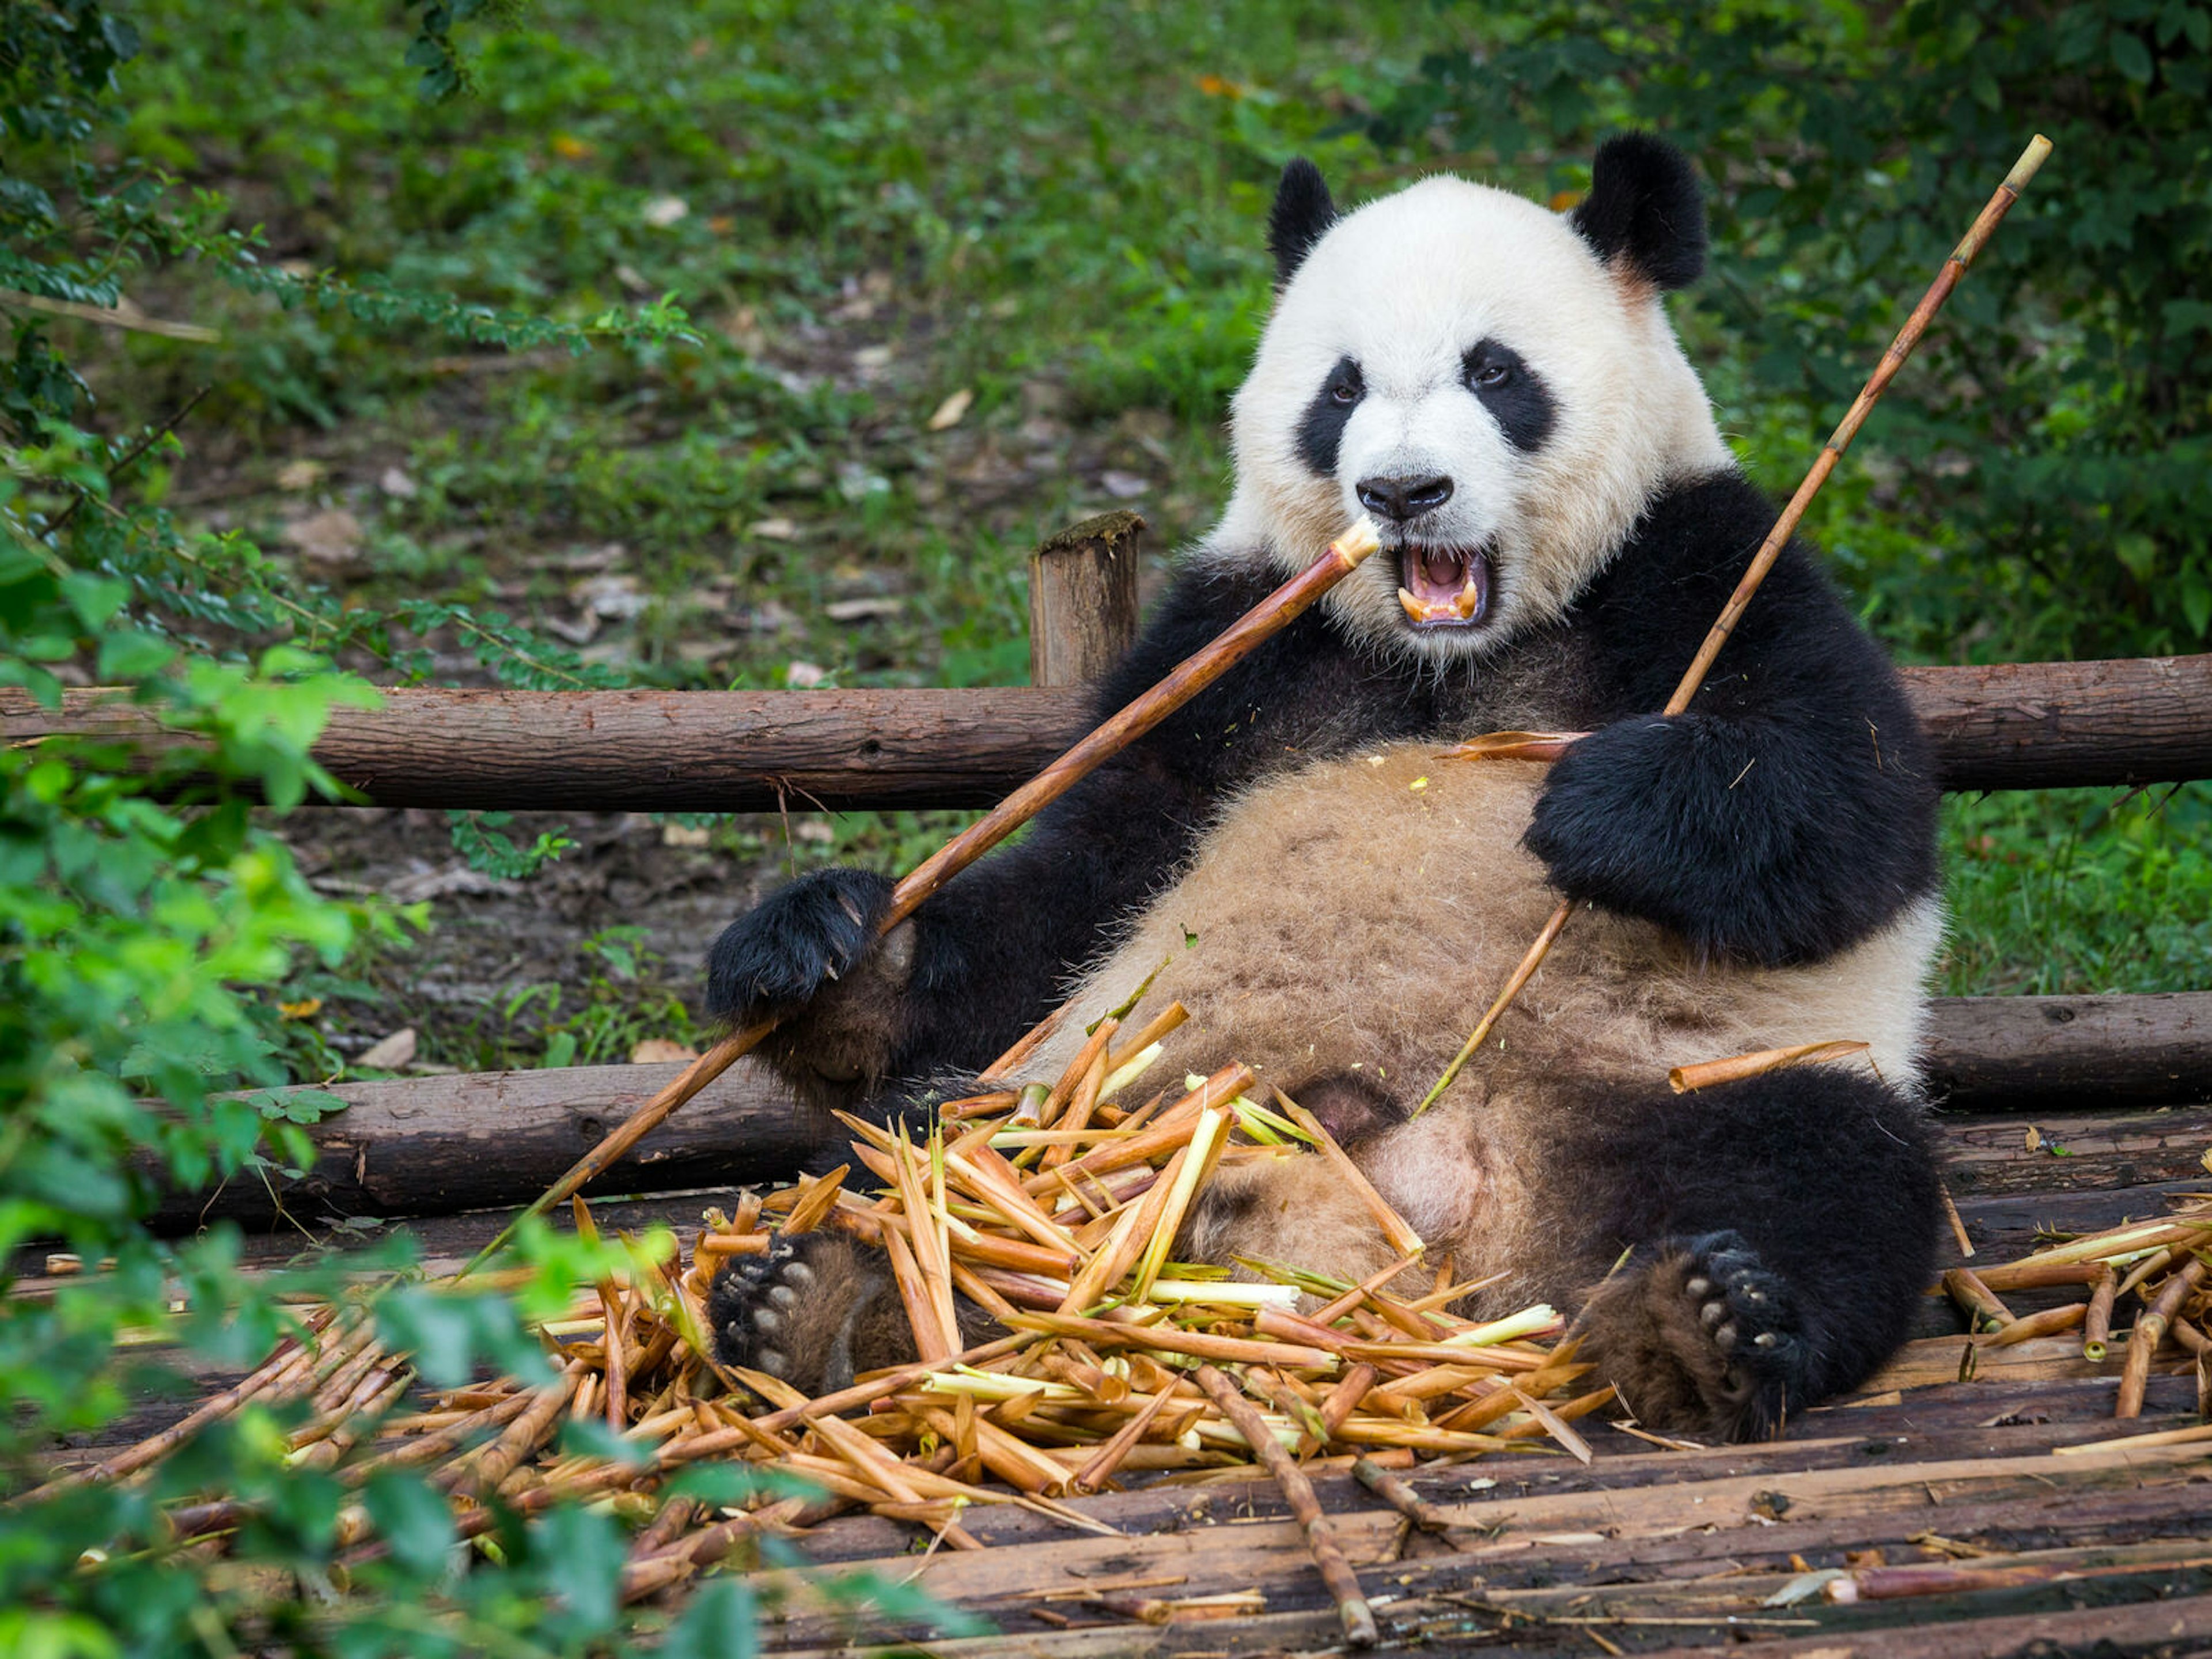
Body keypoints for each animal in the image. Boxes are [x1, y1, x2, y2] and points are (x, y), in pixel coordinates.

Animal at [703, 139, 1937, 1442]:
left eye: (1494, 371)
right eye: (1340, 391)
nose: (1402, 492)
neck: (1450, 657)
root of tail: (1406, 1206)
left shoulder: (1702, 558)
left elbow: (1851, 803)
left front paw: (1592, 808)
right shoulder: (1235, 645)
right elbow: (1082, 882)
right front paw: (821, 951)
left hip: (1682, 1081)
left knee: (1824, 1168)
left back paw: (1709, 1324)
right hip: (1093, 1101)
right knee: (908, 1158)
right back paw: (818, 1303)